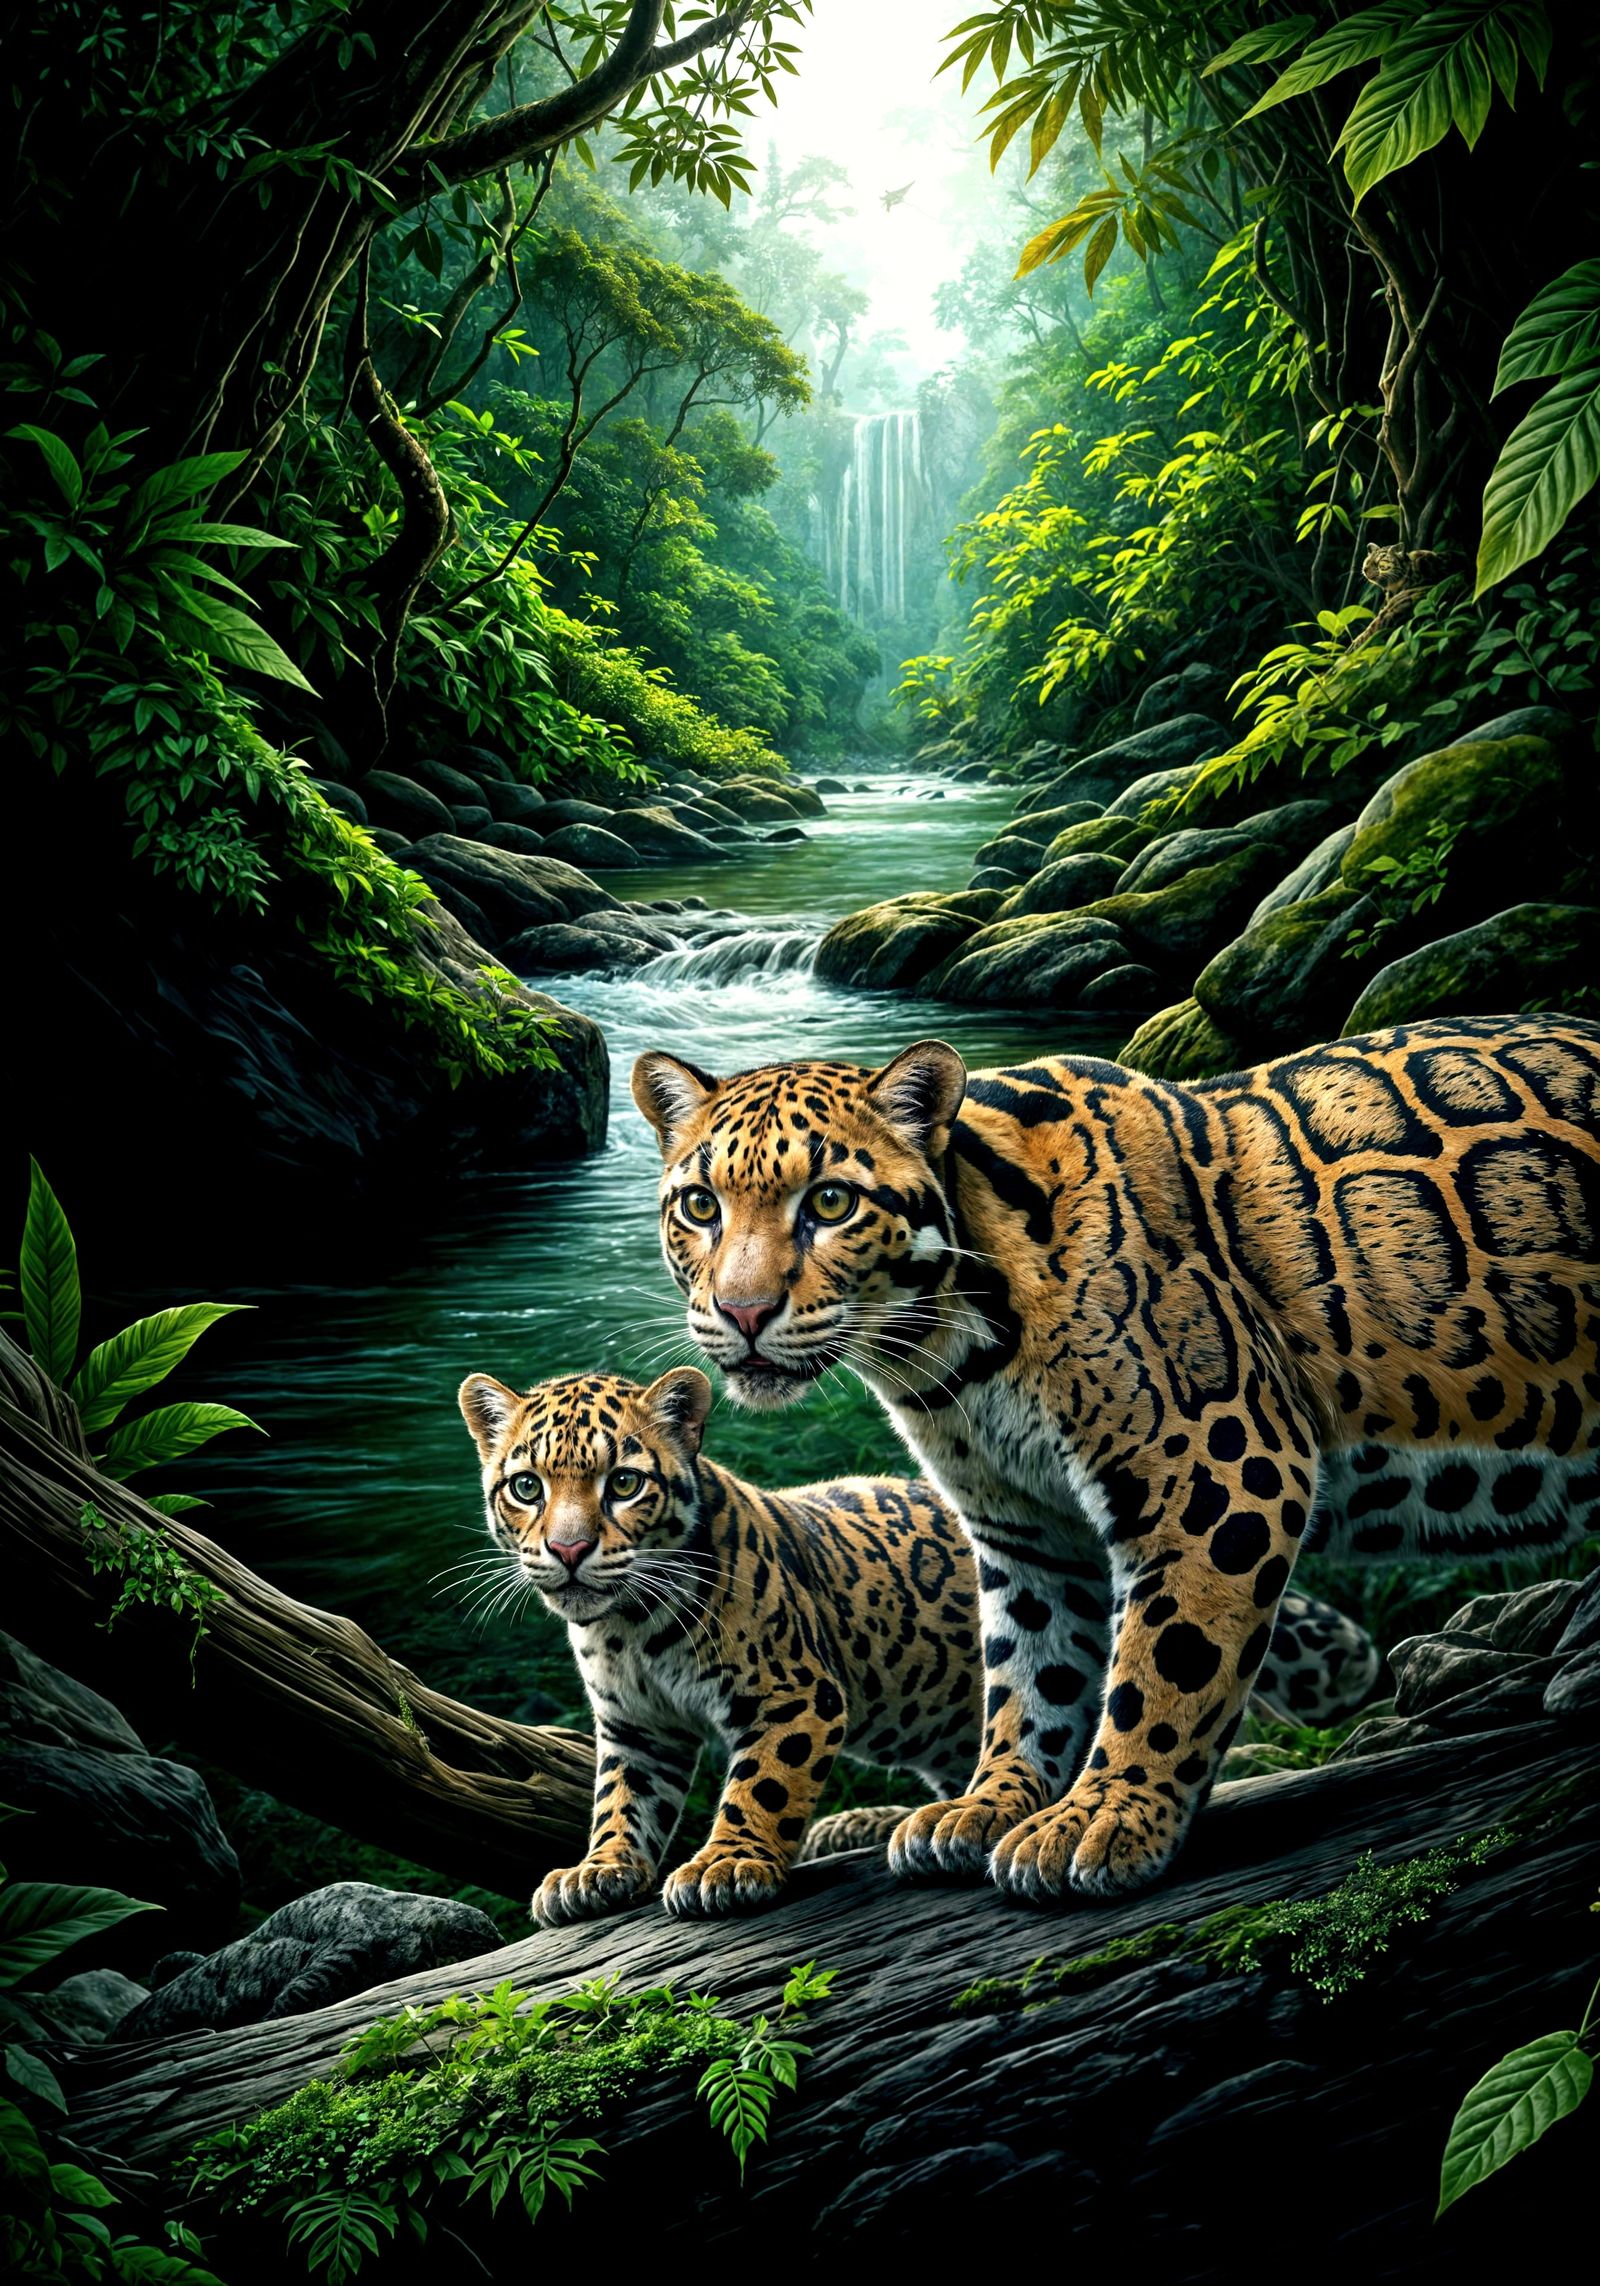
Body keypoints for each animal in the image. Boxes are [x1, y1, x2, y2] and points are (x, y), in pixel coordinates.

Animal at [458, 1366, 1380, 1920]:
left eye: (623, 1483)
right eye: (526, 1488)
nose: (570, 1550)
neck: (623, 1627)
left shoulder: (793, 1696)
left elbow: (757, 1788)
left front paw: (726, 1864)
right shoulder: (634, 1729)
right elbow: (621, 1804)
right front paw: (597, 1872)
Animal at [631, 1013, 1600, 1903]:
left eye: (831, 1203)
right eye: (701, 1206)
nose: (743, 1312)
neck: (948, 1353)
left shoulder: (1218, 1474)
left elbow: (1166, 1662)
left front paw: (1105, 1816)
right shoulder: (1021, 1530)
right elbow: (1031, 1672)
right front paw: (990, 1803)